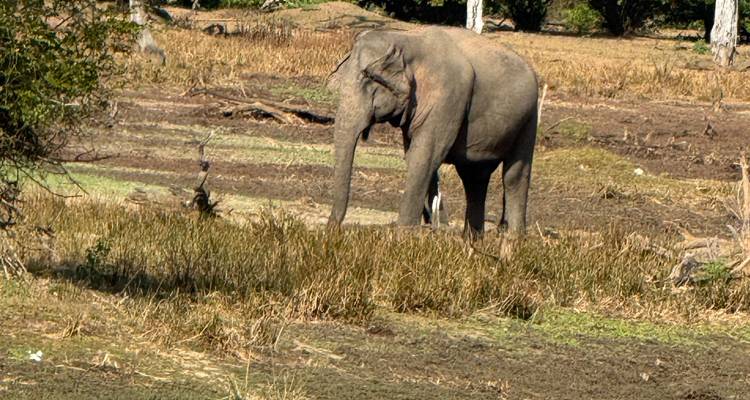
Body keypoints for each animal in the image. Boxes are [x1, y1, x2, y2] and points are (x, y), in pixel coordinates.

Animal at [327, 26, 539, 237]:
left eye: (368, 85)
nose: (334, 231)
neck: (405, 39)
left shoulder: (447, 98)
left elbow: (424, 156)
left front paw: (403, 237)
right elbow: (414, 156)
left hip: (528, 119)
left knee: (513, 176)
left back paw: (512, 240)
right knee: (474, 179)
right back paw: (471, 241)